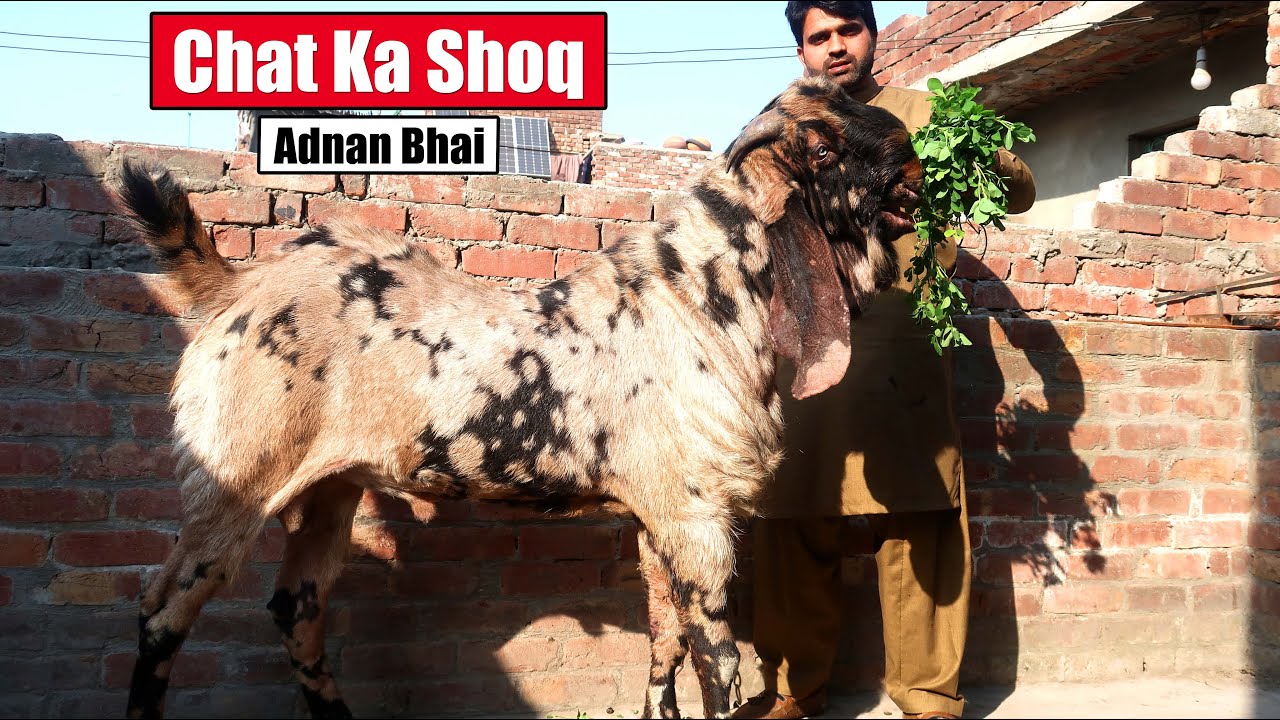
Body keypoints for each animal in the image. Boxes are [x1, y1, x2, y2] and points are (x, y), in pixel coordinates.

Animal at [115, 76, 922, 720]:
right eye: (819, 148)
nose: (911, 158)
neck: (698, 302)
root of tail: (235, 285)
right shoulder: (698, 515)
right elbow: (716, 664)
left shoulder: (659, 513)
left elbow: (664, 645)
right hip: (235, 476)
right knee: (163, 612)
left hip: (328, 491)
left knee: (296, 614)